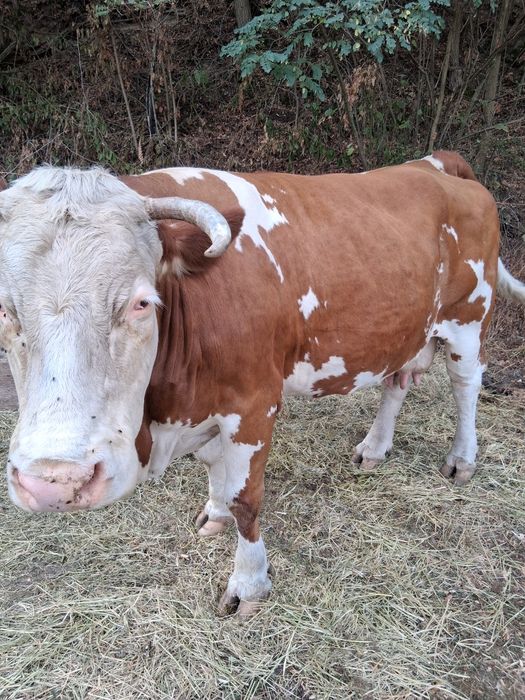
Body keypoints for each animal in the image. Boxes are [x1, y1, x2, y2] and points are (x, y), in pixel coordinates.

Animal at [1, 152, 524, 615]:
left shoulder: (254, 404)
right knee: (397, 381)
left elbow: (245, 499)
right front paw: (214, 514)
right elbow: (215, 470)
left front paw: (249, 584)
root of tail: (434, 164)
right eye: (5, 310)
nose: (53, 482)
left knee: (465, 384)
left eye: (142, 303)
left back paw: (462, 458)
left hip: (469, 319)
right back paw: (374, 448)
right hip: (403, 329)